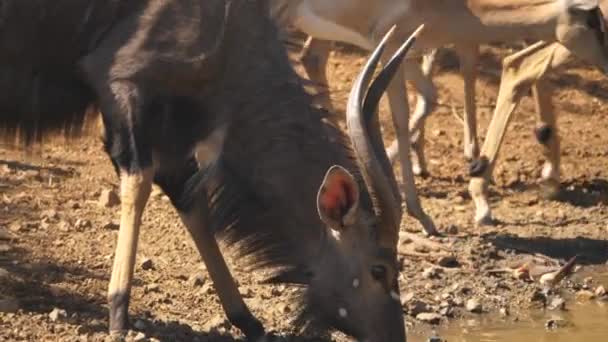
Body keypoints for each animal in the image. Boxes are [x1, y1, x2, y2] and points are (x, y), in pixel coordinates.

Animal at [0, 0, 426, 340]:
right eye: (379, 270)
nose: (394, 337)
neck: (231, 30)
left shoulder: (173, 135)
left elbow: (193, 203)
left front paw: (247, 319)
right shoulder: (121, 88)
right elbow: (139, 183)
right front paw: (119, 313)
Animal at [274, 0, 608, 226]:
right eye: (594, 23)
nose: (606, 62)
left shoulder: (402, 53)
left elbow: (426, 98)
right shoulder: (391, 46)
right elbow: (397, 117)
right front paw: (423, 214)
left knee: (312, 60)